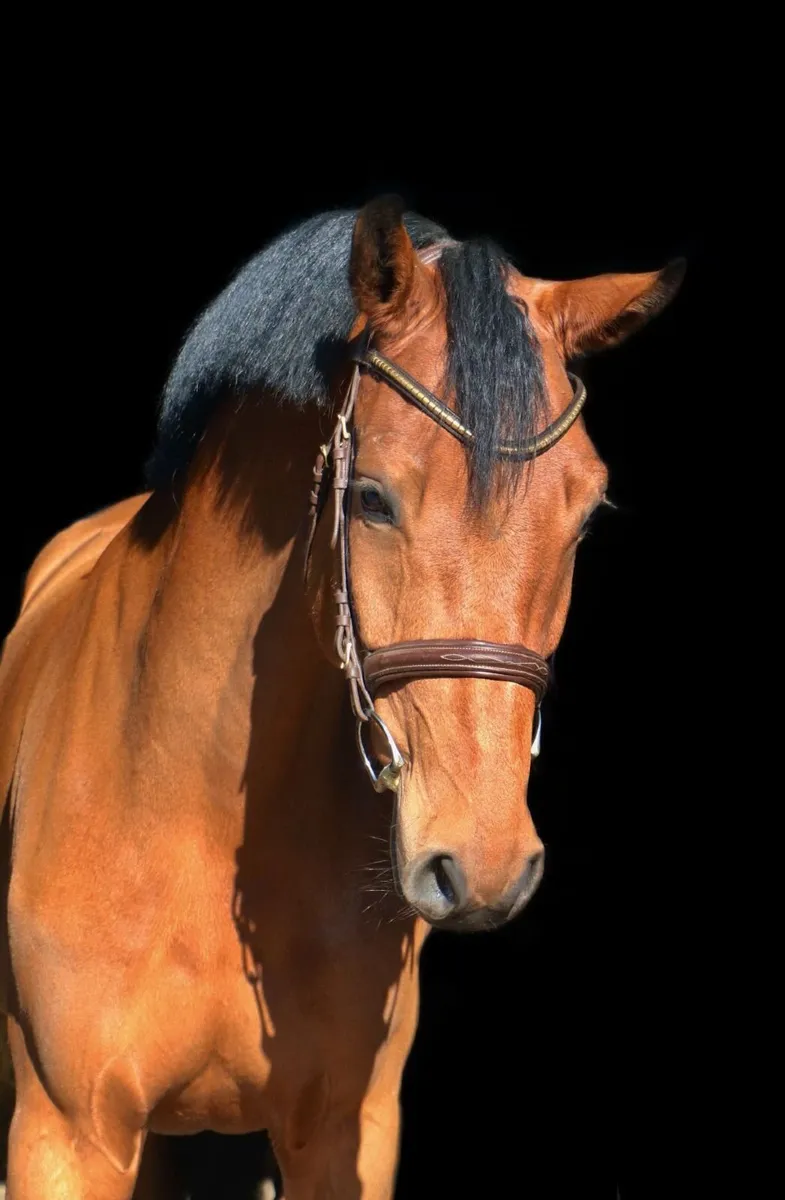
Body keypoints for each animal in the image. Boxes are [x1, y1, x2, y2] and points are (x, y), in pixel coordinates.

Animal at [0, 196, 683, 1199]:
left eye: (586, 512)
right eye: (369, 498)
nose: (483, 864)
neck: (190, 806)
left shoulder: (341, 1133)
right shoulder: (67, 1135)